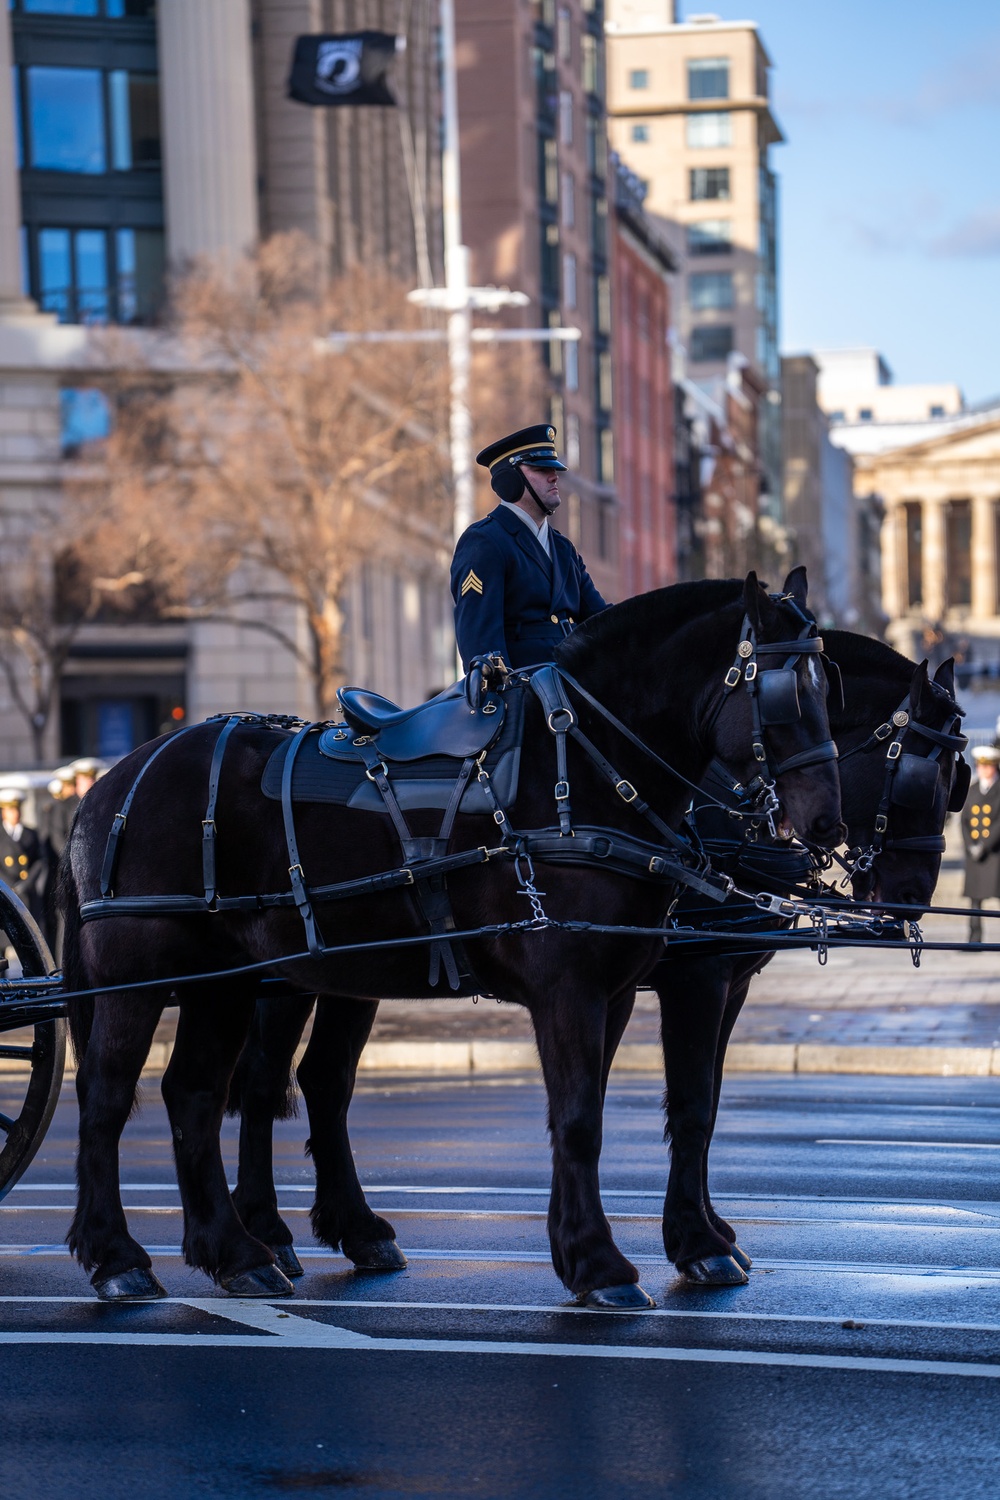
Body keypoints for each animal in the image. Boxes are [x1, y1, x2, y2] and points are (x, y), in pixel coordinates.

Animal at [64, 567, 845, 1308]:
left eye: (829, 685)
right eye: (783, 694)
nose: (826, 823)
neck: (582, 771)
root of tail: (113, 780)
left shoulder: (625, 988)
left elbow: (651, 1108)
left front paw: (655, 1244)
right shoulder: (602, 985)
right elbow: (593, 1118)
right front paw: (604, 1261)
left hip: (232, 981)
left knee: (205, 1092)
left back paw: (243, 1252)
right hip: (147, 975)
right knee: (111, 1095)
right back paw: (119, 1255)